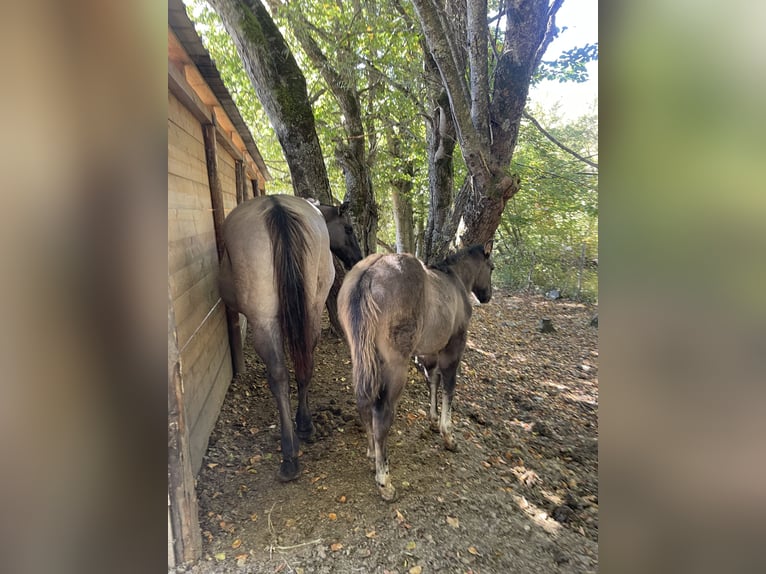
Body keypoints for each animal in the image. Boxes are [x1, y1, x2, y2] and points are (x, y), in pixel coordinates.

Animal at [218, 194, 362, 482]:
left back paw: (289, 452)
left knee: (279, 375)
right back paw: (305, 425)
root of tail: (277, 207)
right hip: (312, 309)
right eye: (349, 229)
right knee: (303, 366)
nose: (358, 258)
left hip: (264, 320)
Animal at [338, 242, 494, 500]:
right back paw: (384, 480)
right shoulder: (454, 345)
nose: (487, 295)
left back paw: (372, 455)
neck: (456, 280)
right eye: (492, 267)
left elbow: (432, 380)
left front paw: (432, 420)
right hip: (395, 365)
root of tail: (368, 275)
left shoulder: (428, 352)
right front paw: (448, 436)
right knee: (381, 413)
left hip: (363, 356)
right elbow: (449, 386)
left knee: (364, 403)